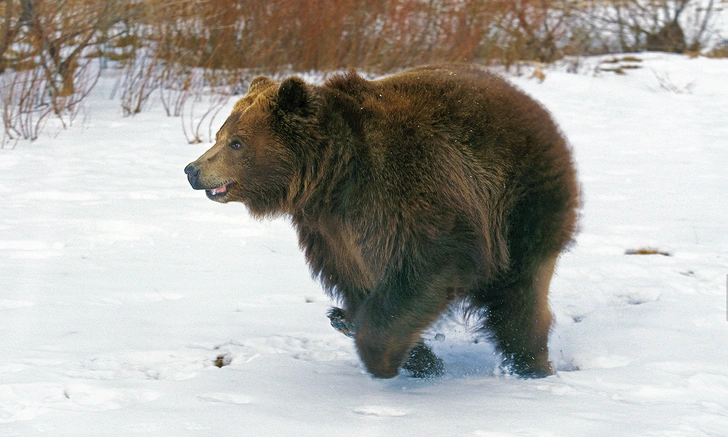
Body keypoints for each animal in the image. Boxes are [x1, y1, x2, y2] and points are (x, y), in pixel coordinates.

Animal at [186, 64, 580, 378]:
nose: (193, 169)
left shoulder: (405, 187)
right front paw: (411, 354)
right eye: (220, 135)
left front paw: (382, 354)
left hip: (519, 201)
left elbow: (432, 259)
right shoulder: (331, 231)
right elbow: (357, 277)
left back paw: (529, 365)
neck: (332, 177)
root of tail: (534, 106)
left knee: (518, 296)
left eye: (236, 142)